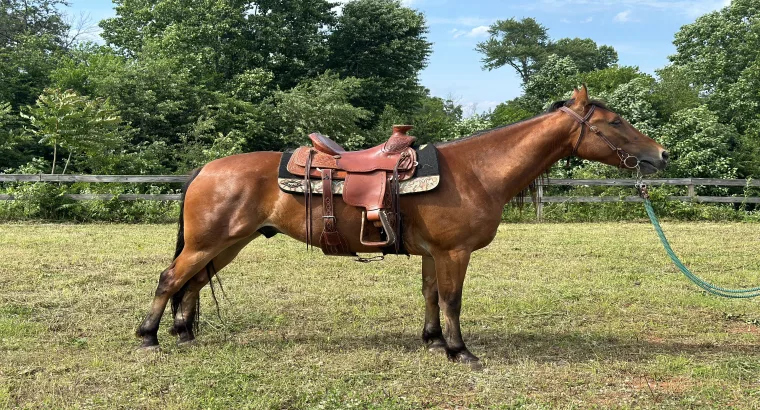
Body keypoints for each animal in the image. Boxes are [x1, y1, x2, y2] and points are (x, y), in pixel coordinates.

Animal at [136, 86, 668, 368]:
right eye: (616, 122)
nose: (661, 155)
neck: (477, 170)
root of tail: (205, 169)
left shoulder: (434, 254)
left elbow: (431, 296)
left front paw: (433, 341)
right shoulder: (454, 253)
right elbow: (453, 300)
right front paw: (460, 351)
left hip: (227, 242)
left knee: (191, 284)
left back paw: (184, 333)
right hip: (209, 241)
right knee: (170, 279)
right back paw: (148, 336)